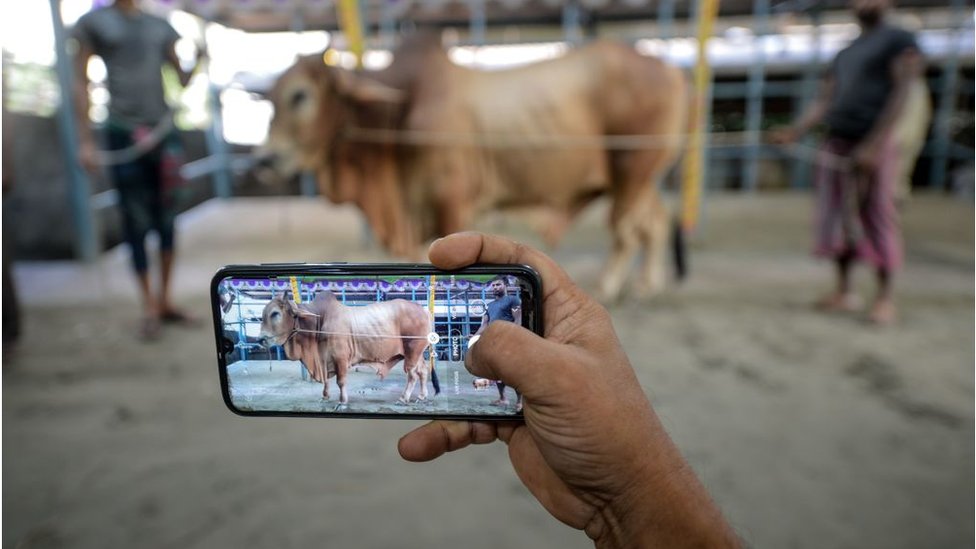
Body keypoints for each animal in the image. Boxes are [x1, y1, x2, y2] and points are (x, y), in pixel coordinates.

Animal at [260, 38, 688, 300]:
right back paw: (647, 284)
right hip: (638, 178)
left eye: (300, 95)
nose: (265, 158)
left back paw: (608, 286)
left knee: (626, 230)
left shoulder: (452, 202)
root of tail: (667, 68)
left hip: (632, 169)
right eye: (271, 99)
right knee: (655, 223)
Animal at [264, 292, 438, 402]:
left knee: (412, 375)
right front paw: (325, 396)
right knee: (422, 371)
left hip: (412, 351)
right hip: (417, 353)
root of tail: (423, 310)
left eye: (275, 313)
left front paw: (342, 401)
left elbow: (341, 381)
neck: (320, 320)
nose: (261, 338)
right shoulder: (324, 359)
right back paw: (422, 396)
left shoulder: (340, 358)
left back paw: (403, 398)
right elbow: (327, 380)